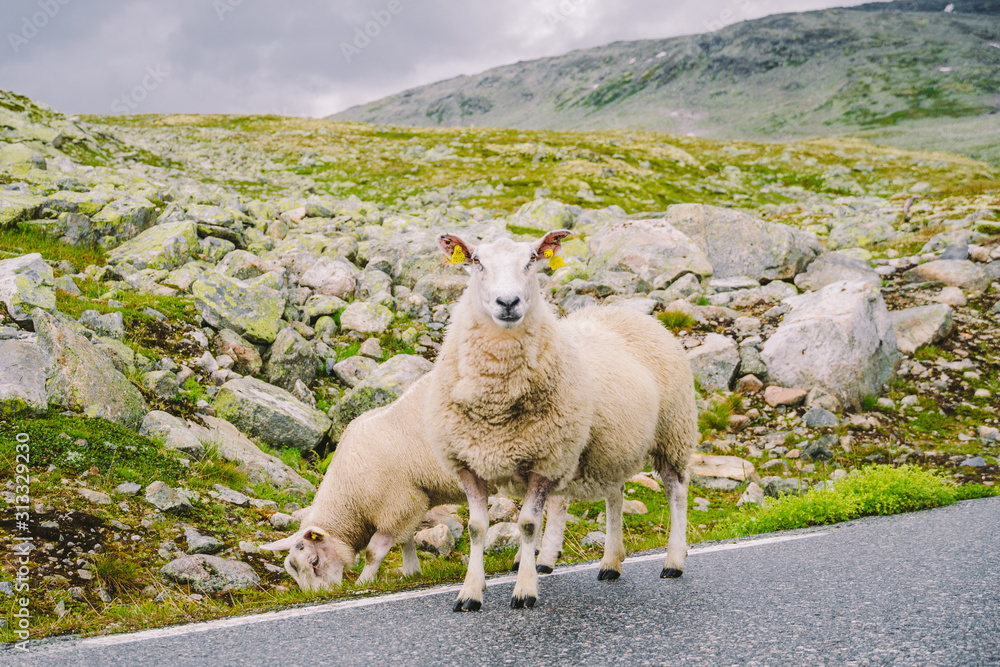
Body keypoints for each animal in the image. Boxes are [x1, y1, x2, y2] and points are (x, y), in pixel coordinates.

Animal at [261, 372, 568, 590]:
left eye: (314, 561)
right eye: (294, 571)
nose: (321, 595)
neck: (350, 496)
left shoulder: (397, 501)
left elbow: (374, 551)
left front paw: (364, 581)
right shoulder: (407, 502)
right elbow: (405, 539)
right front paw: (411, 572)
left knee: (555, 505)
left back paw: (543, 557)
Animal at [426, 230, 698, 612]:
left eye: (531, 260)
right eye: (477, 261)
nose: (507, 302)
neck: (496, 402)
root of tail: (628, 311)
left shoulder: (546, 460)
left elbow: (527, 524)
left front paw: (525, 591)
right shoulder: (468, 463)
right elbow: (476, 529)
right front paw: (470, 594)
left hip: (672, 432)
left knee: (676, 491)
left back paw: (673, 560)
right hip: (611, 446)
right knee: (615, 496)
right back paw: (610, 563)